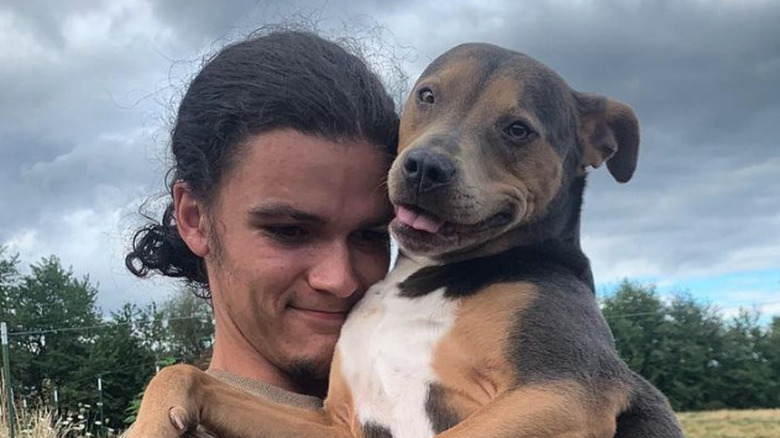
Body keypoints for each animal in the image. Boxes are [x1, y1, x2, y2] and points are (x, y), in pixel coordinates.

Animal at [128, 42, 684, 438]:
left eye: (518, 129)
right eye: (428, 95)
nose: (425, 168)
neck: (428, 275)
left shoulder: (564, 390)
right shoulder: (335, 422)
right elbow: (184, 372)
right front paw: (148, 424)